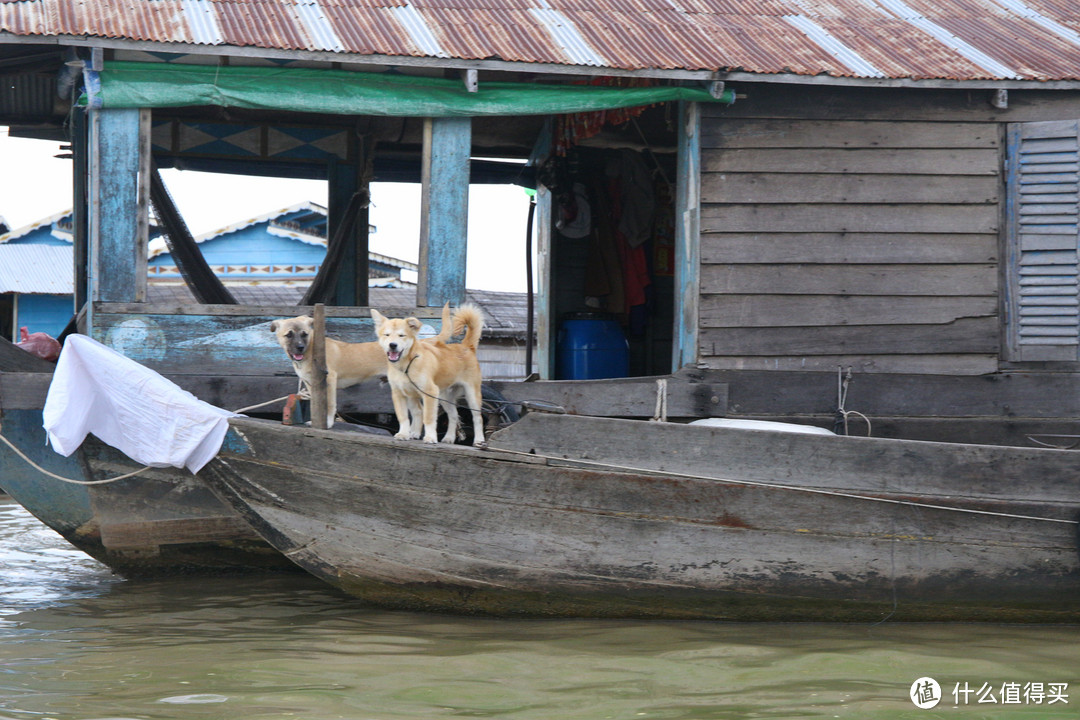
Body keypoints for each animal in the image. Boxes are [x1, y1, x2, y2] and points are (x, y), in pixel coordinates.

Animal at [274, 302, 455, 427]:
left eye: (304, 334)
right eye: (289, 335)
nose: (300, 347)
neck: (310, 350)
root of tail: (421, 342)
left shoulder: (329, 381)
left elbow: (330, 405)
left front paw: (328, 423)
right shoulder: (310, 384)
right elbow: (315, 406)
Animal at [373, 302, 488, 444]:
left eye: (402, 335)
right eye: (387, 335)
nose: (392, 345)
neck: (406, 366)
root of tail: (467, 346)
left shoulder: (430, 392)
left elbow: (428, 418)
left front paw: (430, 437)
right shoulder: (398, 394)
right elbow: (403, 417)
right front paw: (403, 434)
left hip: (472, 395)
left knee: (477, 418)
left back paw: (479, 440)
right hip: (444, 397)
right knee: (453, 415)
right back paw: (449, 438)